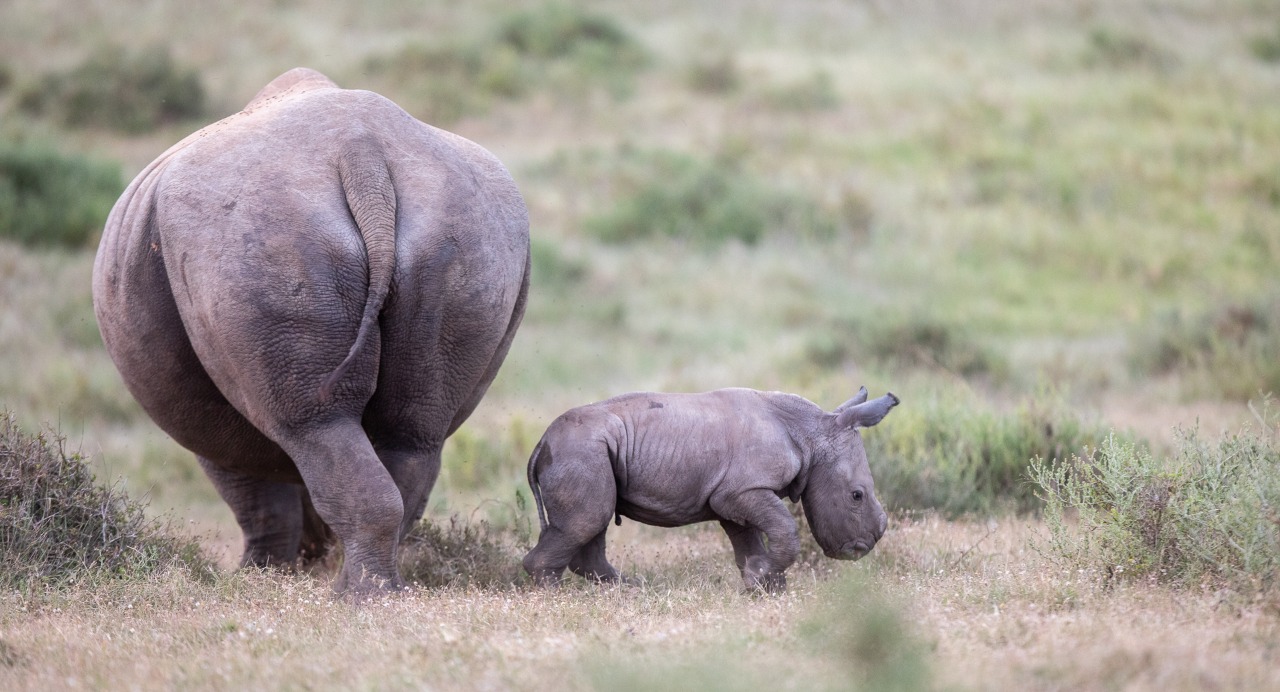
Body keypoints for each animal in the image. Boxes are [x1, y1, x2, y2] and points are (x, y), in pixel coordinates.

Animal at [92, 67, 527, 590]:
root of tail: (362, 156)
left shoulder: (215, 419)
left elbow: (254, 495)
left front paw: (257, 575)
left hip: (258, 235)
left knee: (315, 424)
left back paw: (351, 595)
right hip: (469, 230)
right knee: (413, 433)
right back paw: (375, 589)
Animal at [522, 386, 901, 590]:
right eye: (856, 495)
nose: (862, 548)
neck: (812, 433)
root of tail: (541, 443)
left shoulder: (734, 496)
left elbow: (748, 541)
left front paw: (763, 585)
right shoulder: (742, 490)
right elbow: (784, 528)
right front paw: (763, 580)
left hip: (588, 451)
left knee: (592, 522)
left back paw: (631, 591)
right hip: (580, 451)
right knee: (586, 521)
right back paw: (557, 598)